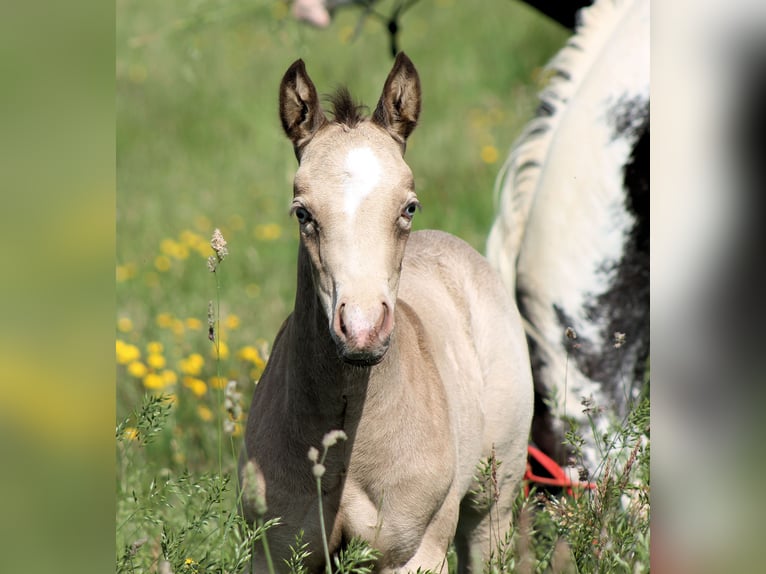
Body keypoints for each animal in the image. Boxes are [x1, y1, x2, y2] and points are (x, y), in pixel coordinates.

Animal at [240, 54, 536, 574]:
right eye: (302, 213)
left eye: (409, 207)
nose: (361, 331)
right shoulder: (275, 554)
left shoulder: (413, 554)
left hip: (493, 499)